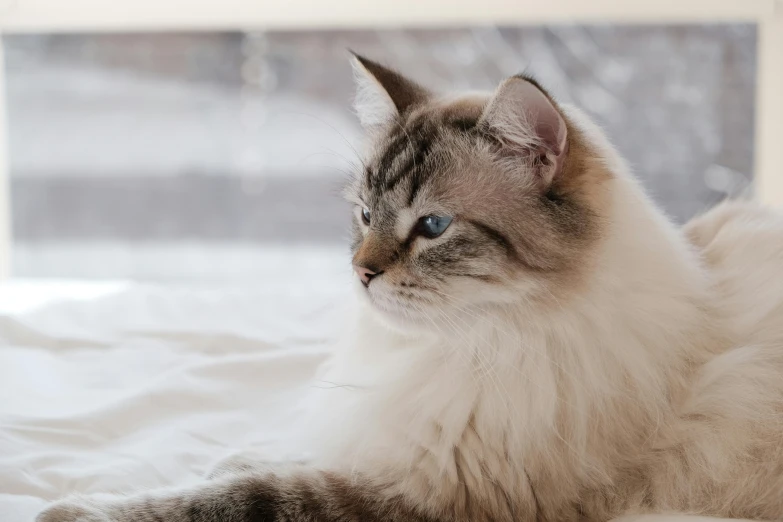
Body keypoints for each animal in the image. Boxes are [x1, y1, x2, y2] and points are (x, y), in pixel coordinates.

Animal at [36, 53, 783, 520]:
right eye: (365, 216)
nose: (360, 273)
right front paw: (226, 454)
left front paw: (74, 508)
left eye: (432, 226)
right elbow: (266, 456)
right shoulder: (391, 439)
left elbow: (238, 495)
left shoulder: (427, 493)